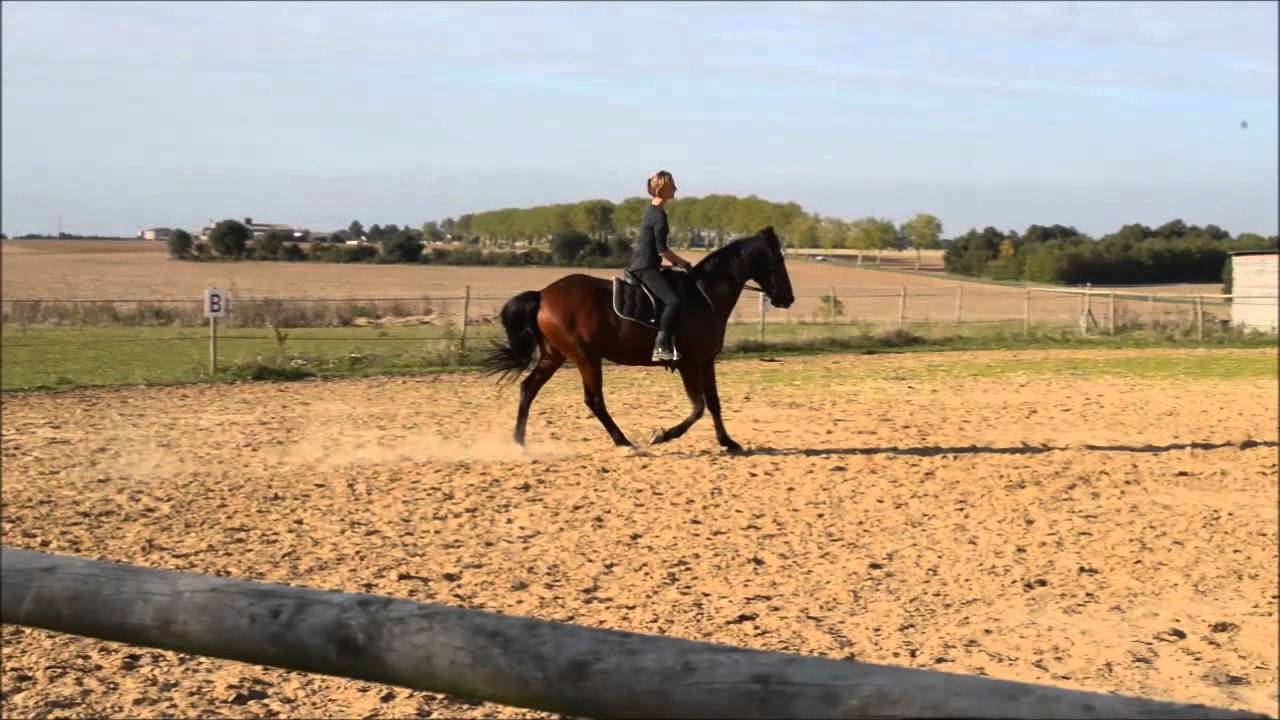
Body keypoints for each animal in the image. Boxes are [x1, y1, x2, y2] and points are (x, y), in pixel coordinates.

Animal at [481, 225, 796, 453]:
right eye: (778, 259)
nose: (788, 298)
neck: (705, 295)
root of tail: (543, 294)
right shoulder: (690, 363)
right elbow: (698, 407)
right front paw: (662, 435)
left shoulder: (707, 360)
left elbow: (714, 403)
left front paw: (728, 443)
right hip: (585, 357)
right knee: (594, 400)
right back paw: (623, 442)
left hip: (554, 355)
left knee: (529, 389)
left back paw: (519, 442)